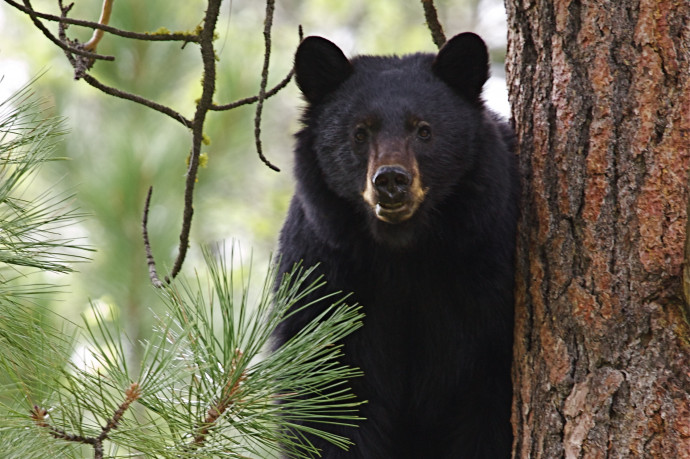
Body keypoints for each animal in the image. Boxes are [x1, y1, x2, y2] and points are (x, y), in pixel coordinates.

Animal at [274, 33, 516, 459]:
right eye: (360, 132)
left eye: (424, 130)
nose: (391, 180)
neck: (404, 252)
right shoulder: (323, 275)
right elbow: (327, 403)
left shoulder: (488, 273)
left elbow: (485, 404)